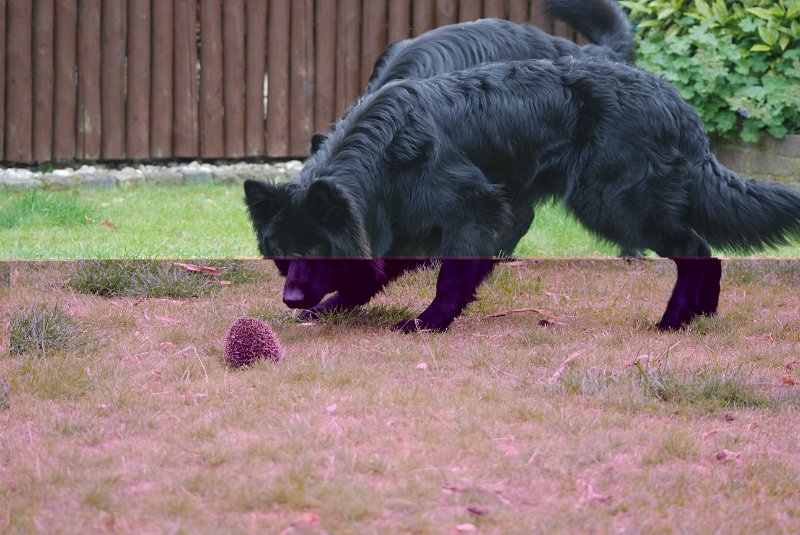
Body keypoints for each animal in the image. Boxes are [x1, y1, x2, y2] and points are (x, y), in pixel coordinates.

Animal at [245, 57, 800, 330]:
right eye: (280, 253)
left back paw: (674, 321)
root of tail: (678, 104)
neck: (387, 153)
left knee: (696, 248)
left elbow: (451, 277)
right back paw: (702, 316)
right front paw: (330, 308)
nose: (291, 299)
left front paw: (430, 322)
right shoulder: (404, 226)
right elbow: (369, 273)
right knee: (708, 252)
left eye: (313, 247)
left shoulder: (475, 210)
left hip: (615, 204)